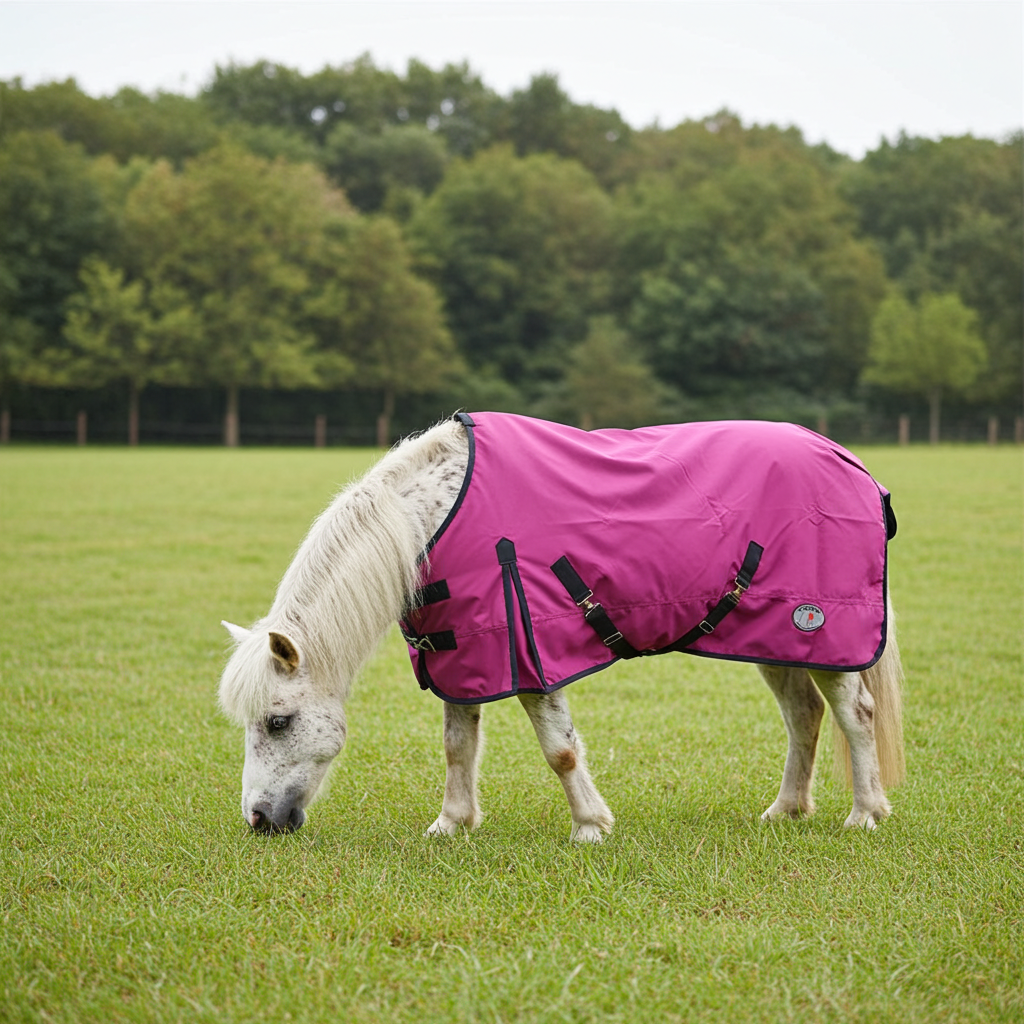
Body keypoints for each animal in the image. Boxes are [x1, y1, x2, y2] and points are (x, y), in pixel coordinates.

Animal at [219, 412, 905, 840]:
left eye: (278, 721)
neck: (435, 519)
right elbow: (457, 745)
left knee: (855, 714)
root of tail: (849, 460)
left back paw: (866, 813)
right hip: (773, 639)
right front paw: (452, 823)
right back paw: (786, 809)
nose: (258, 819)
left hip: (825, 632)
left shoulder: (529, 654)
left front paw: (590, 827)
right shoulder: (466, 654)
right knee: (804, 716)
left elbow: (560, 749)